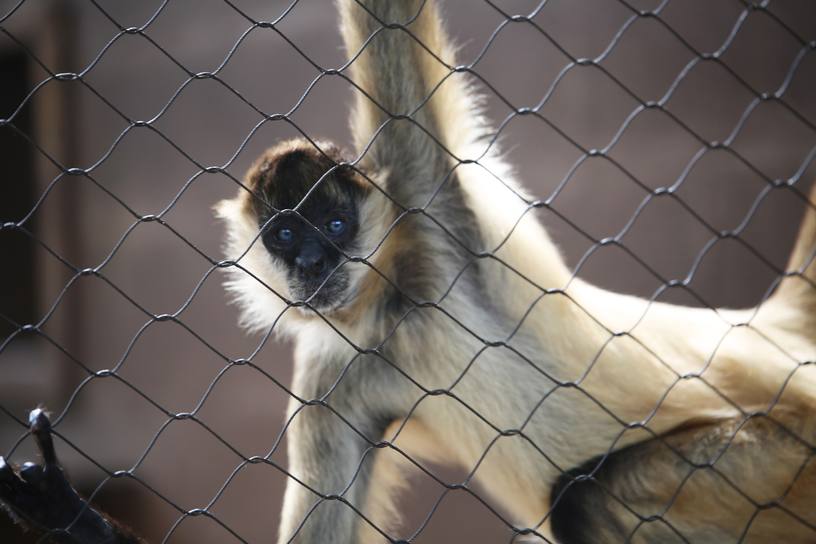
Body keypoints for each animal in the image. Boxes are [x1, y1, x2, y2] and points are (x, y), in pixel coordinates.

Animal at [1, 1, 816, 544]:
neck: (390, 311)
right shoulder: (332, 378)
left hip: (786, 456)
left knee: (585, 501)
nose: (315, 262)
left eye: (334, 225)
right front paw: (71, 521)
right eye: (286, 235)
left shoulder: (427, 201)